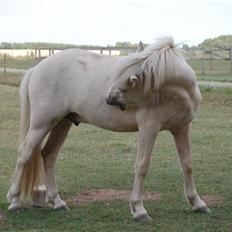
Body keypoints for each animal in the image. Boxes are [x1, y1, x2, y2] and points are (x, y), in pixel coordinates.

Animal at [7, 37, 210, 222]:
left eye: (132, 80)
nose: (109, 99)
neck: (175, 93)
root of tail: (37, 68)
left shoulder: (182, 128)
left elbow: (187, 164)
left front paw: (197, 203)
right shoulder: (149, 128)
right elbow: (142, 166)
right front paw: (139, 210)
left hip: (62, 123)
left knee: (48, 155)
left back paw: (57, 202)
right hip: (42, 124)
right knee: (24, 154)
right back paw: (15, 201)